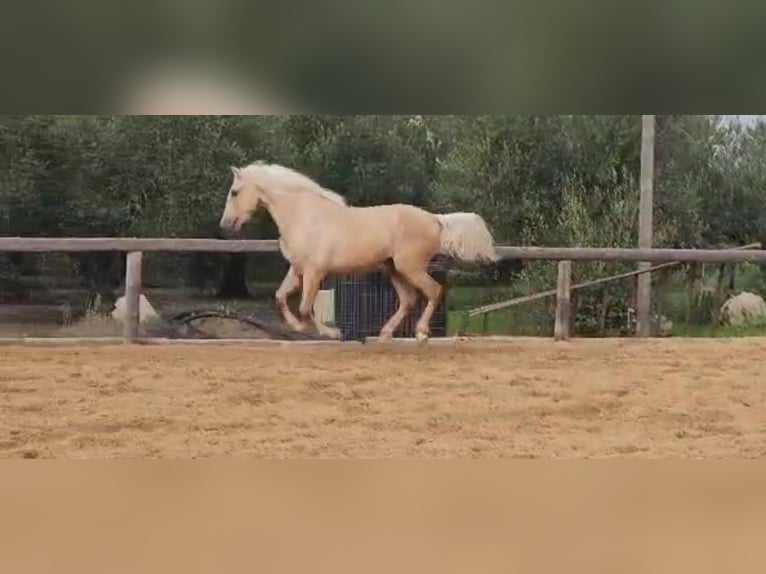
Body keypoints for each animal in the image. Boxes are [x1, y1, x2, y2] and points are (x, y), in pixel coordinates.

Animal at [219, 161, 500, 342]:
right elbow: (281, 297)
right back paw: (385, 334)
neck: (305, 217)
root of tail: (435, 219)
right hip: (393, 269)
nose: (225, 224)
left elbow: (306, 307)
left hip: (410, 267)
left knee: (433, 291)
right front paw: (298, 327)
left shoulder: (314, 272)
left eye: (234, 192)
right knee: (408, 300)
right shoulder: (298, 269)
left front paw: (332, 333)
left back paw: (420, 332)